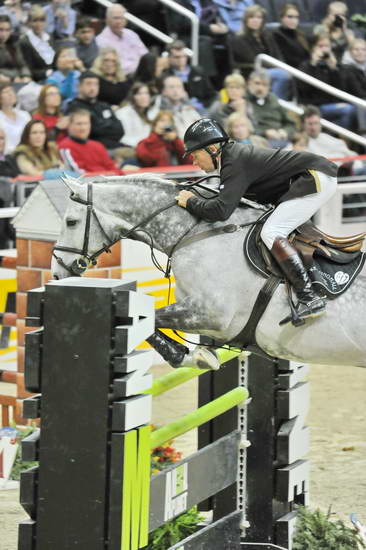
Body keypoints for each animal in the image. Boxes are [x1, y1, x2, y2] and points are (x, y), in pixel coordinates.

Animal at [50, 172, 366, 370]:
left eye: (70, 222)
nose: (57, 272)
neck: (197, 233)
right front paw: (195, 355)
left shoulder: (211, 314)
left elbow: (149, 321)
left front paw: (191, 357)